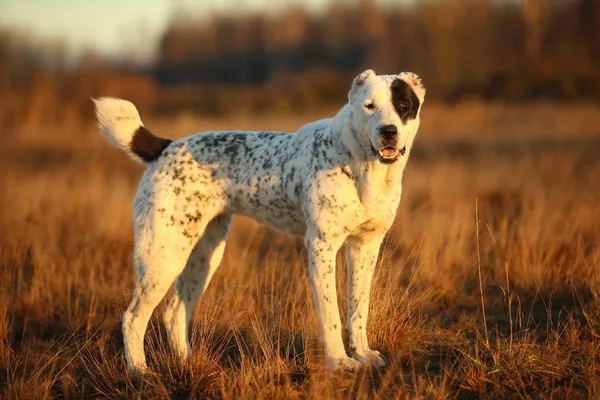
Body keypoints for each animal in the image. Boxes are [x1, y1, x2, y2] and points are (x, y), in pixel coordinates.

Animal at [92, 68, 426, 372]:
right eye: (369, 106)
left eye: (403, 104)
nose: (388, 131)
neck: (362, 164)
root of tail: (166, 147)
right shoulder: (322, 246)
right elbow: (330, 313)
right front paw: (339, 362)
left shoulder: (365, 247)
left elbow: (359, 308)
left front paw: (363, 355)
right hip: (164, 256)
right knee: (133, 316)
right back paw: (139, 372)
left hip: (203, 256)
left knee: (174, 312)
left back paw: (188, 363)